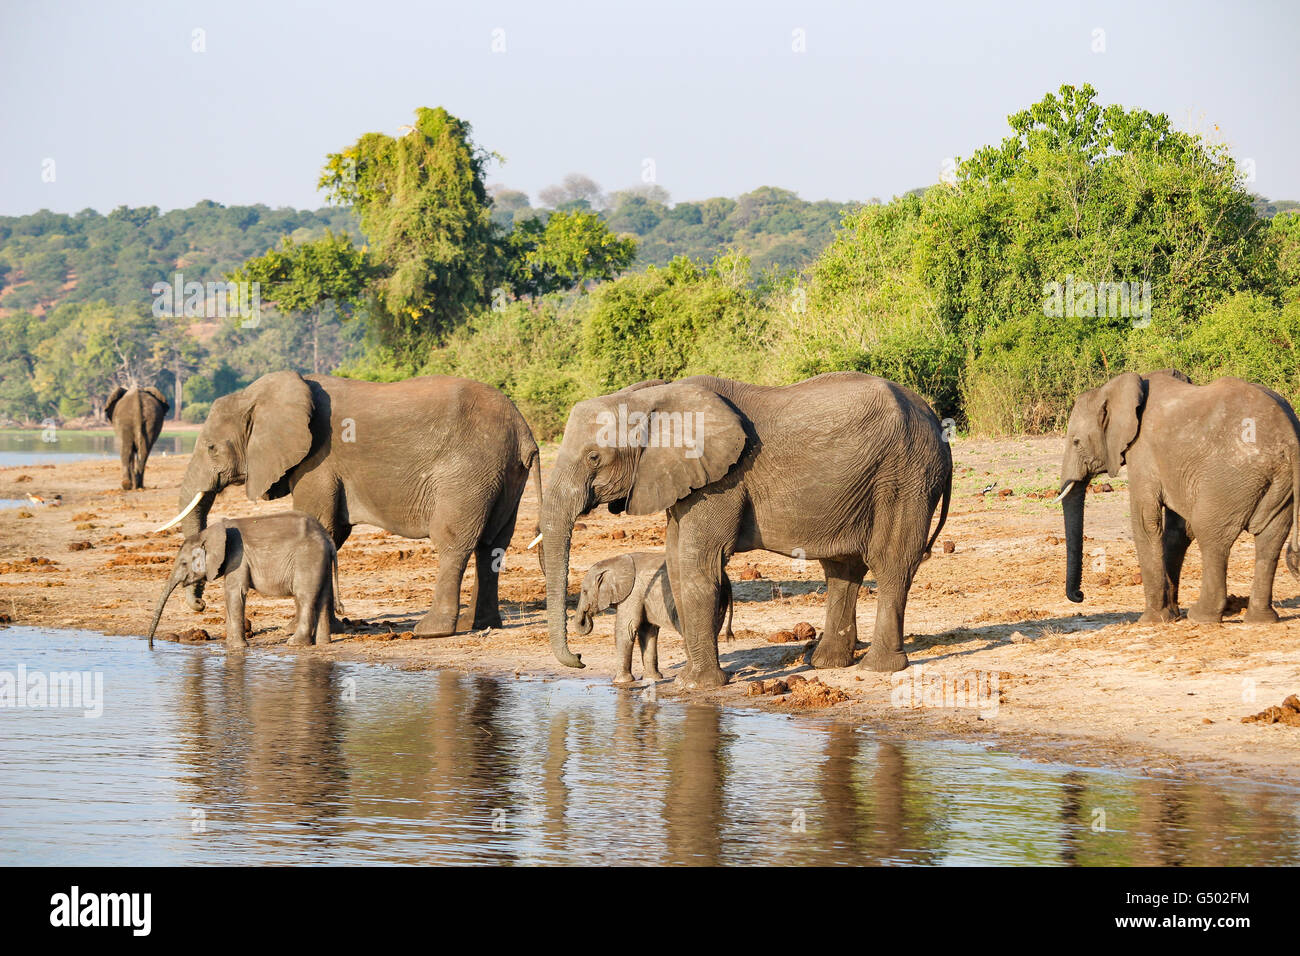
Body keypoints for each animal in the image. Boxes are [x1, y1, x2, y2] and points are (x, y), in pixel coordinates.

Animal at [147, 515, 340, 650]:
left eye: (183, 563)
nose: (151, 645)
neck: (209, 533)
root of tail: (327, 538)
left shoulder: (237, 556)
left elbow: (234, 592)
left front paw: (237, 648)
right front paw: (230, 646)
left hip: (307, 558)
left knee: (304, 597)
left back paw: (295, 643)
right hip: (320, 561)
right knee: (323, 597)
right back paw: (323, 643)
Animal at [154, 371, 540, 634]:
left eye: (211, 448)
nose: (200, 605)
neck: (260, 394)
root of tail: (524, 432)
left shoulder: (318, 460)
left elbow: (319, 524)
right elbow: (331, 535)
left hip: (468, 472)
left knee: (453, 543)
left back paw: (431, 631)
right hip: (503, 476)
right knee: (492, 545)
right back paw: (481, 624)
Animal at [577, 554, 738, 686]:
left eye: (584, 591)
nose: (587, 616)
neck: (615, 561)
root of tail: (725, 578)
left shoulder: (633, 593)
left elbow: (627, 629)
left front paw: (620, 682)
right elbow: (647, 631)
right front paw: (652, 679)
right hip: (719, 600)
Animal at [1055, 369, 1300, 624]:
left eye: (1076, 441)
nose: (1080, 595)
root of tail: (1290, 440)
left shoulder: (1143, 452)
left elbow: (1146, 522)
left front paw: (1152, 620)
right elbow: (1177, 530)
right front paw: (1171, 615)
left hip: (1232, 476)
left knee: (1211, 534)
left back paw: (1202, 617)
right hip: (1278, 482)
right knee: (1270, 540)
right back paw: (1261, 619)